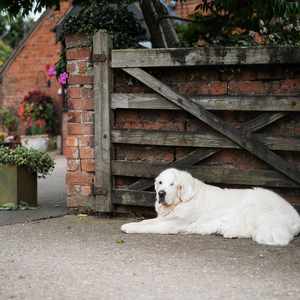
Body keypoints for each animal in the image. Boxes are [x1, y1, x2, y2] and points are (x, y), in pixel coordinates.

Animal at [120, 168, 300, 245]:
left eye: (172, 184)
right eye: (160, 183)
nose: (161, 193)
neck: (184, 201)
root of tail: (295, 214)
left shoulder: (171, 224)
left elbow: (147, 227)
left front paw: (129, 227)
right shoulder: (164, 219)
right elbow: (146, 222)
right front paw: (131, 223)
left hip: (256, 210)